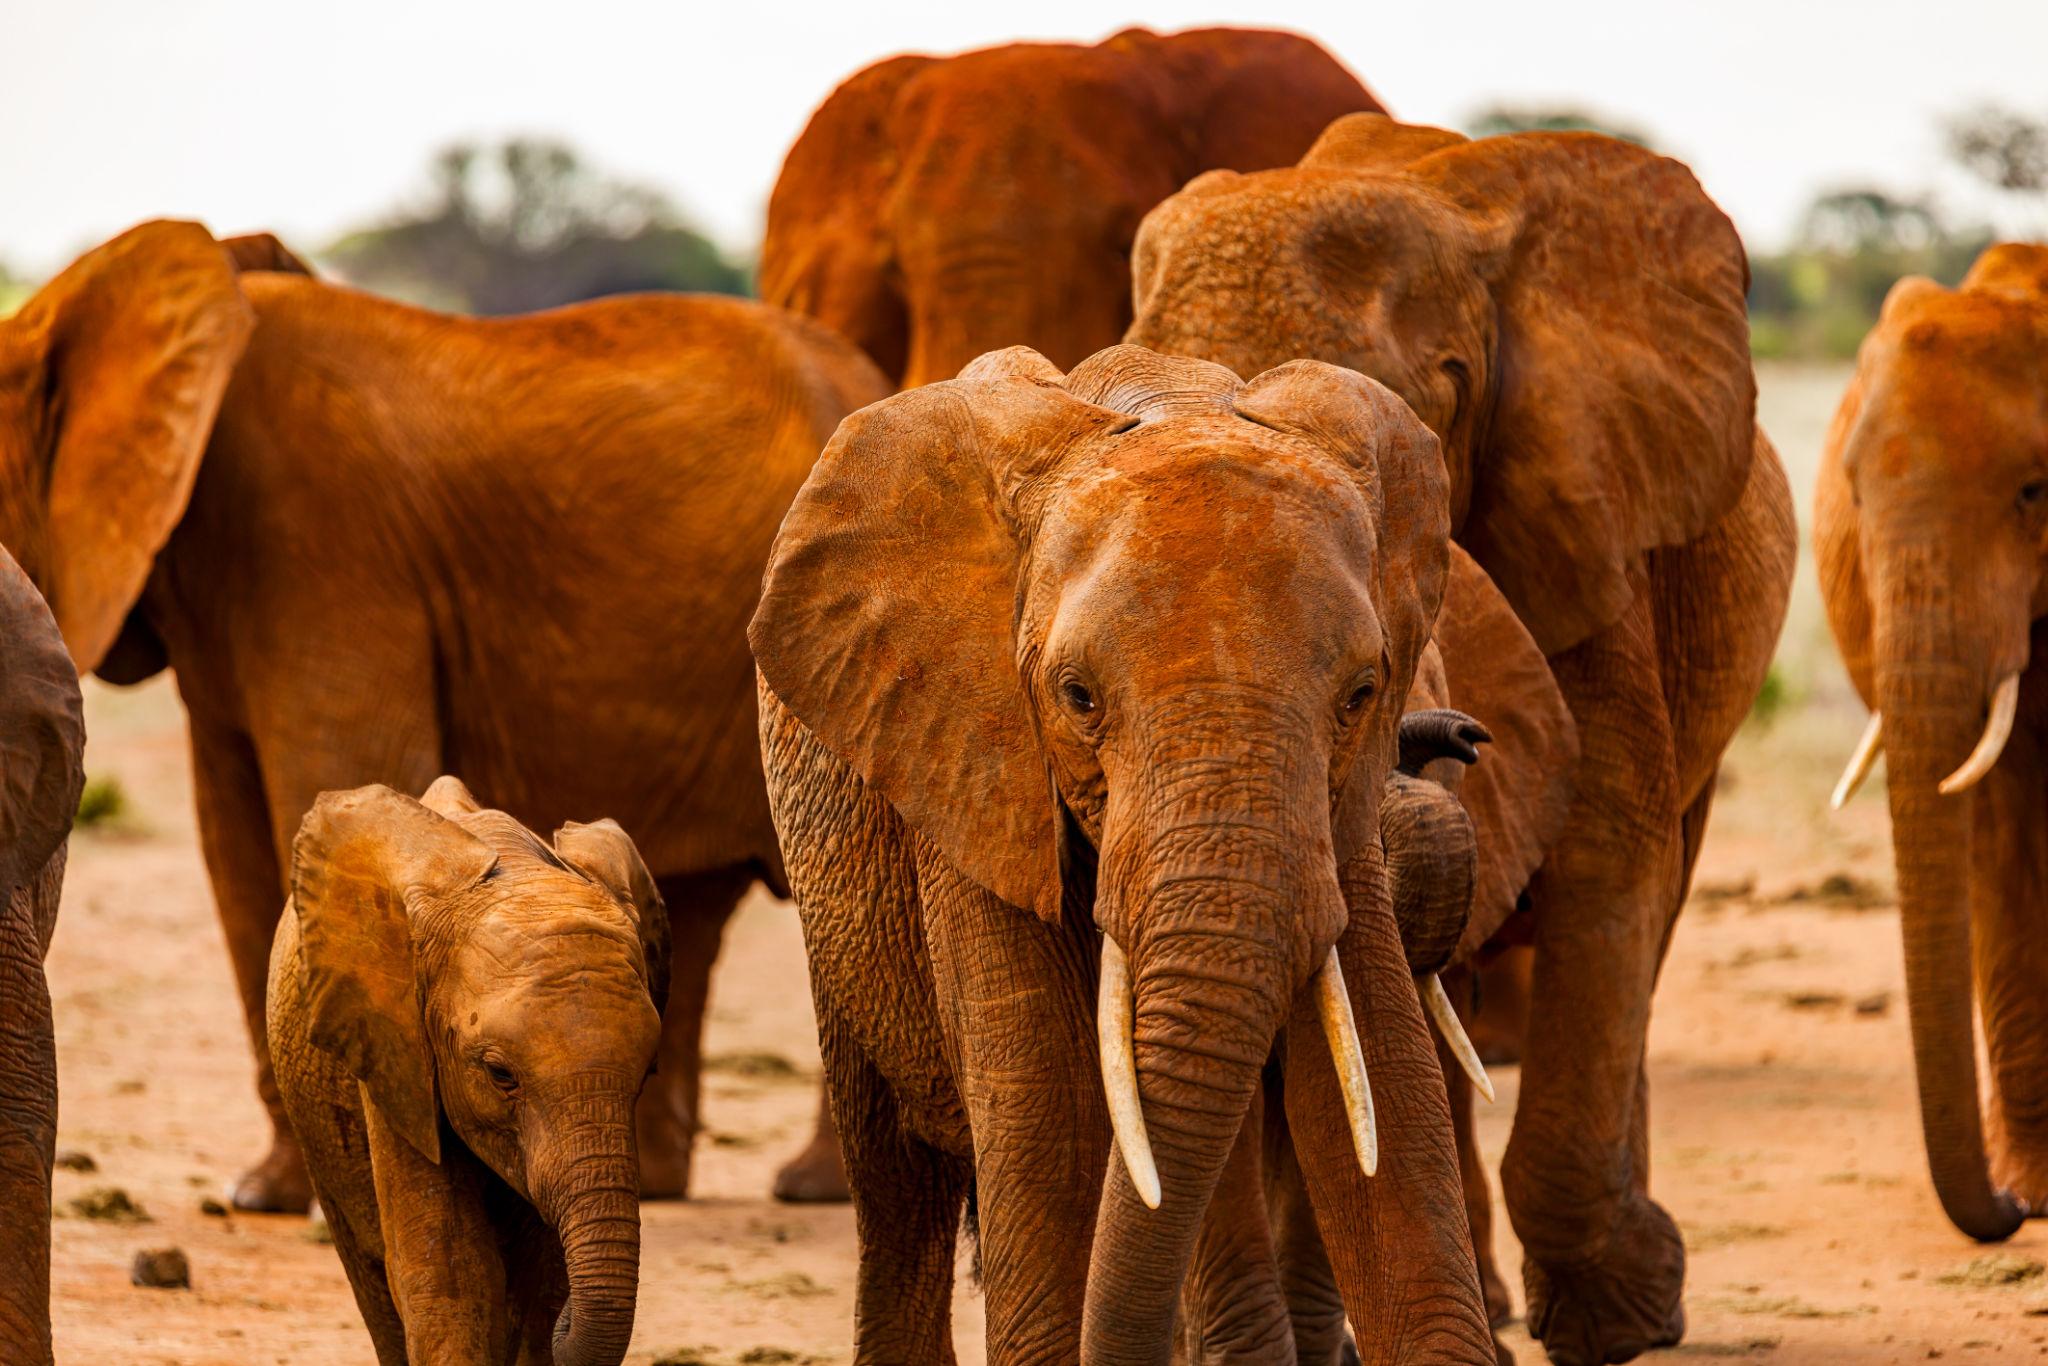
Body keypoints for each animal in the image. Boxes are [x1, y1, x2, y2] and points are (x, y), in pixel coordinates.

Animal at [269, 777, 666, 1366]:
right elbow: (451, 1274)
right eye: (500, 1075)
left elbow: (535, 1285)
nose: (569, 1321)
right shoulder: (397, 1049)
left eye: (645, 1074)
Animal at [753, 341, 1498, 1364]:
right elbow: (1055, 1123)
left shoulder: (1340, 821)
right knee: (899, 1191)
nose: (1462, 735)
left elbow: (1384, 1099)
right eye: (1077, 697)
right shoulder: (976, 766)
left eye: (1360, 694)